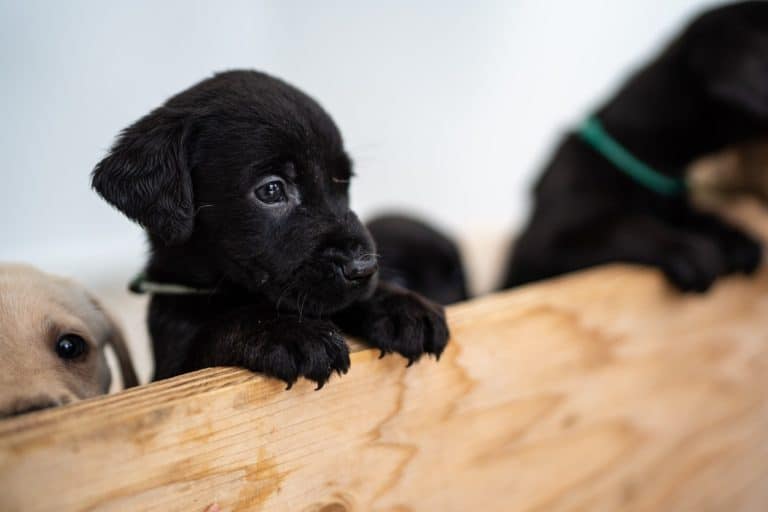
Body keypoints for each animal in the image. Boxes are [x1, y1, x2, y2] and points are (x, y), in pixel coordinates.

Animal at [94, 69, 450, 388]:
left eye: (343, 181)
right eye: (271, 190)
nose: (363, 268)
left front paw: (398, 304)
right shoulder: (176, 362)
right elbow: (222, 324)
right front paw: (287, 331)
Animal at [500, 0, 764, 292]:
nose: (686, 249)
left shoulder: (675, 209)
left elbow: (698, 216)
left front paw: (734, 237)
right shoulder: (546, 243)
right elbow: (625, 226)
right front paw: (685, 248)